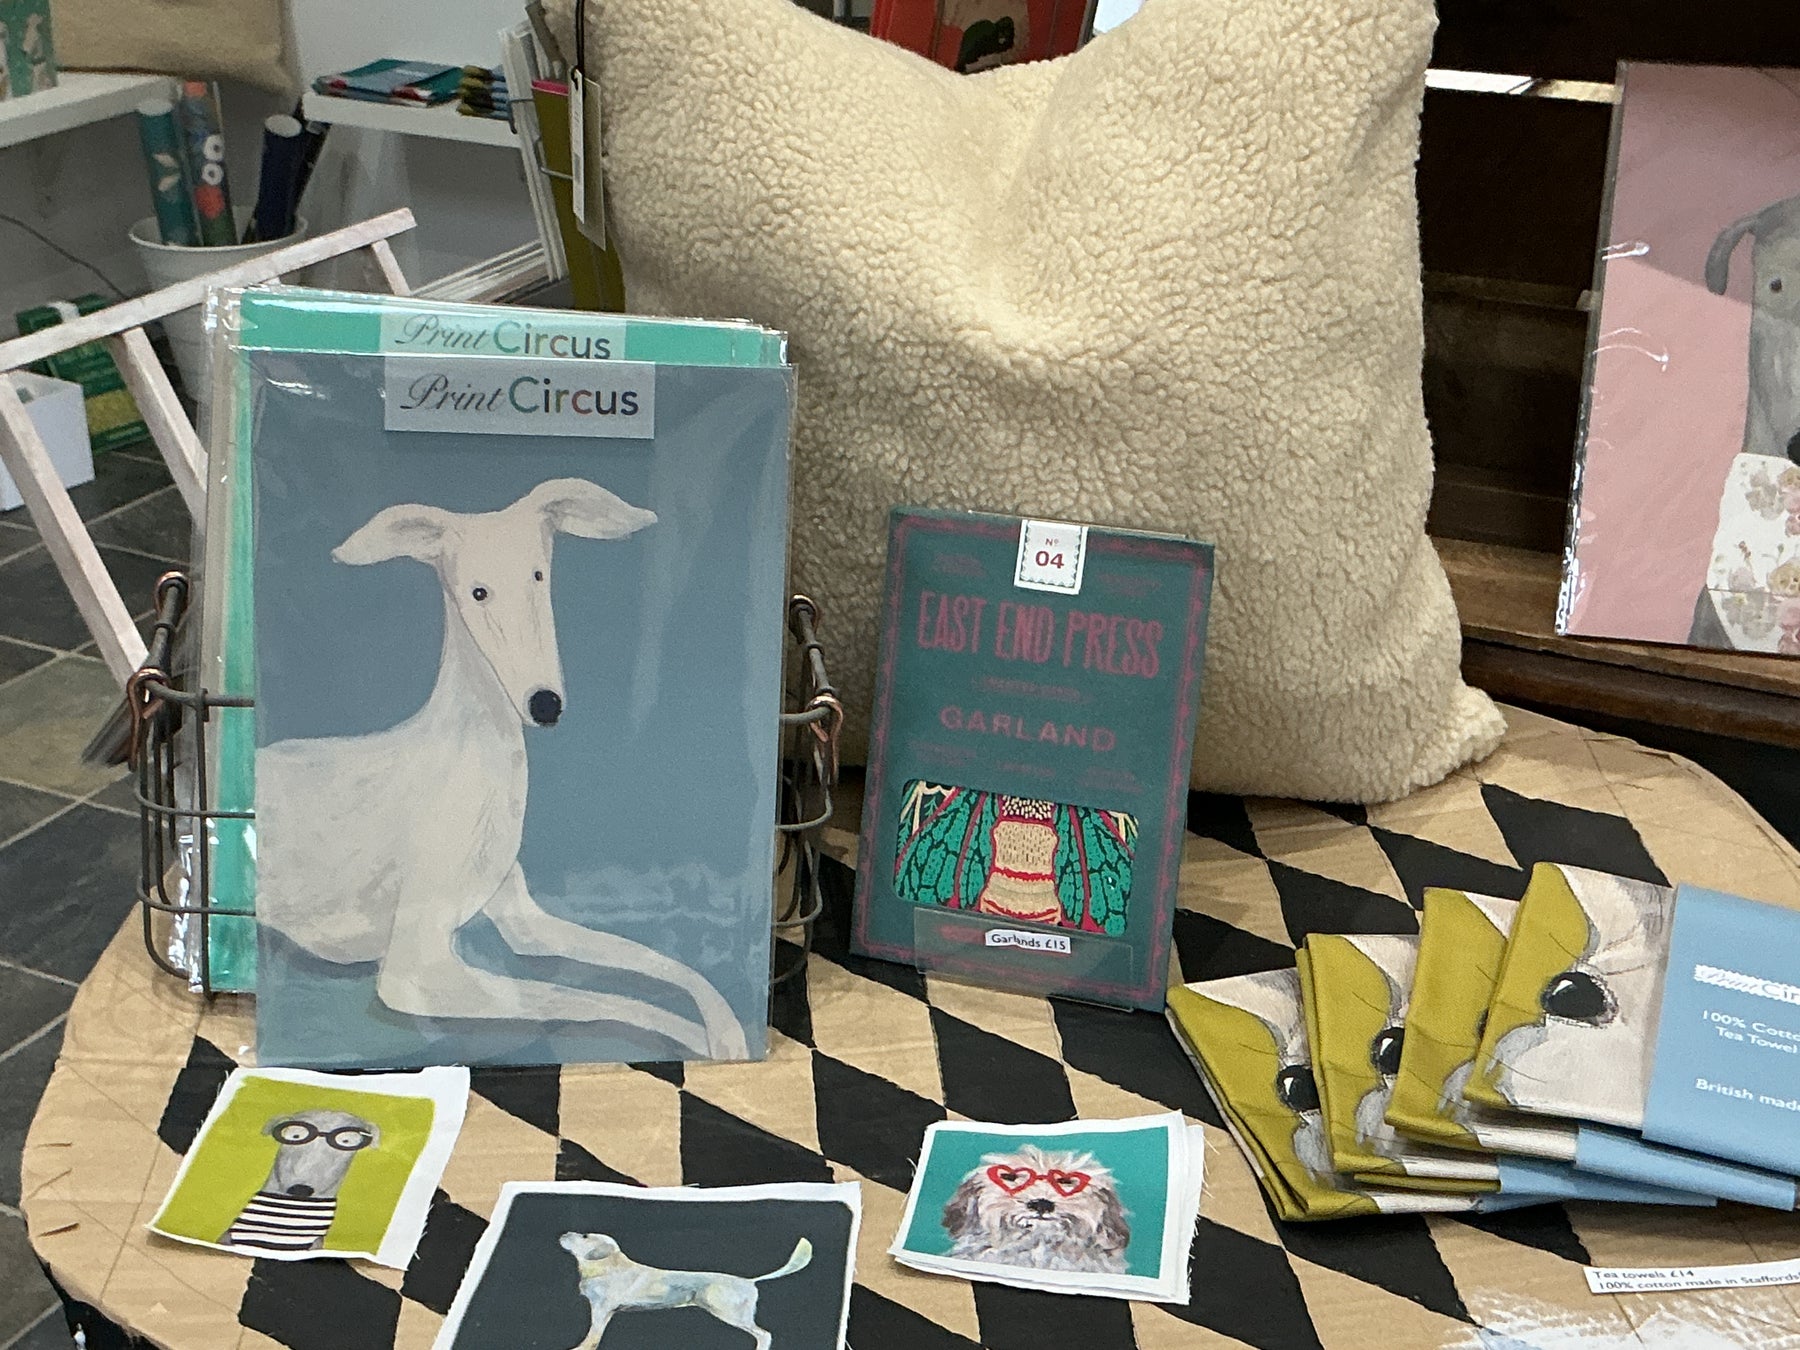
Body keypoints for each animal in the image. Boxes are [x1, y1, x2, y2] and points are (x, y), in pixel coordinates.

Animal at [557, 1231, 812, 1350]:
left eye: (585, 1236)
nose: (564, 1234)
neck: (605, 1266)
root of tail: (750, 1281)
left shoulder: (600, 1309)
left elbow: (592, 1335)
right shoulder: (607, 1312)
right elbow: (597, 1335)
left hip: (731, 1313)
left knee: (764, 1334)